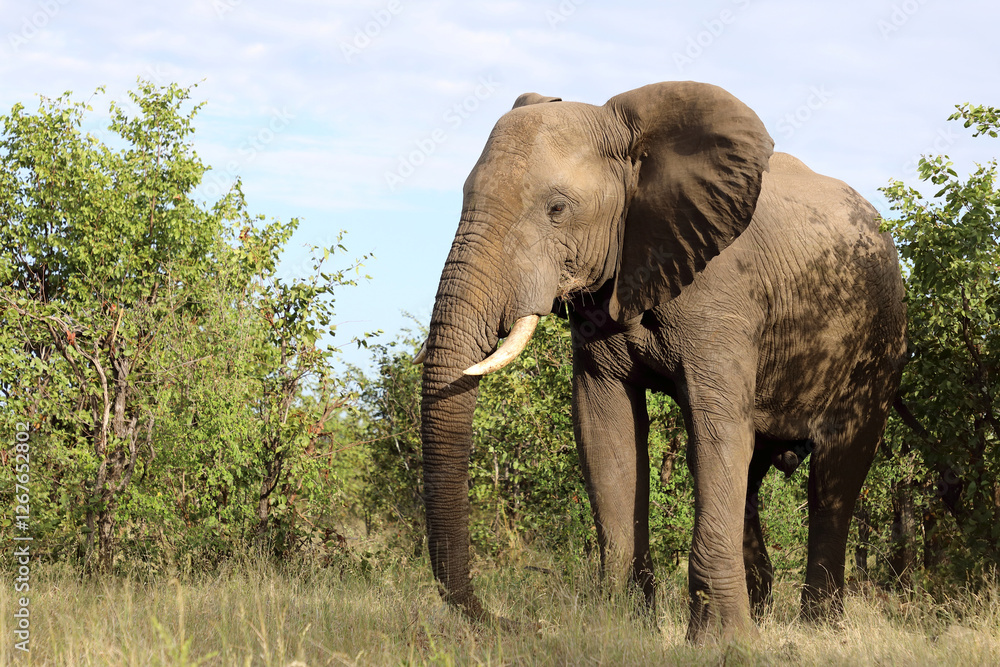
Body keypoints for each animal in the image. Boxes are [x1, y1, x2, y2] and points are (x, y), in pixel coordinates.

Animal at [416, 81, 906, 644]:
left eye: (557, 208)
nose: (520, 623)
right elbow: (605, 429)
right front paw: (620, 625)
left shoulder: (723, 293)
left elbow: (714, 430)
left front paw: (721, 643)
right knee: (753, 472)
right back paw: (764, 611)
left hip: (879, 339)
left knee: (834, 476)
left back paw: (820, 630)